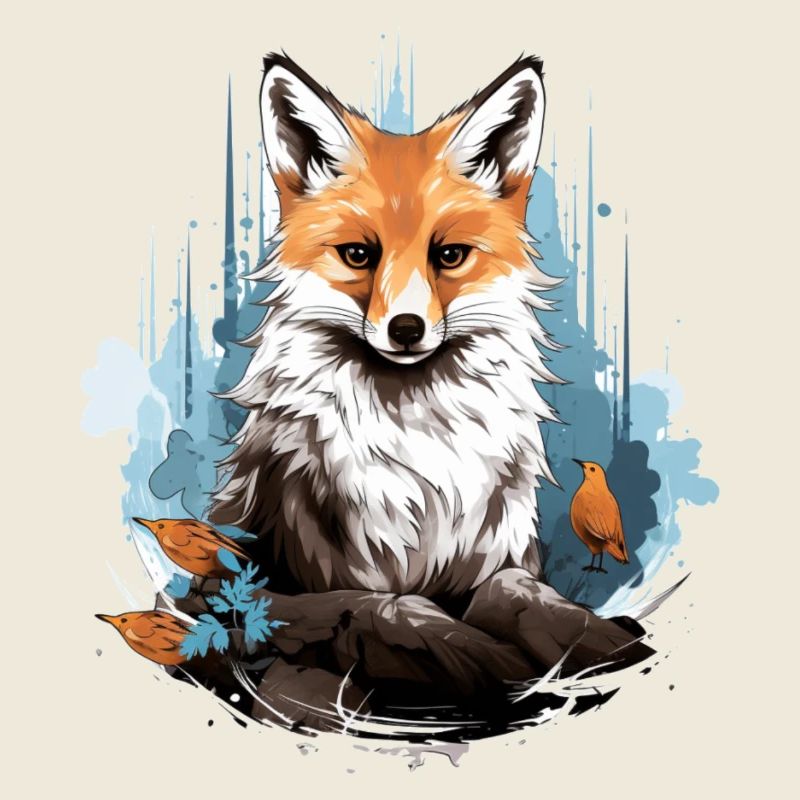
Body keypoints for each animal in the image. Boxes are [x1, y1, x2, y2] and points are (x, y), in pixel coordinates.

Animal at [209, 53, 562, 602]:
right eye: (358, 254)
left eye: (449, 255)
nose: (406, 329)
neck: (419, 458)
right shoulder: (335, 565)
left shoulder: (501, 551)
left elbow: (511, 586)